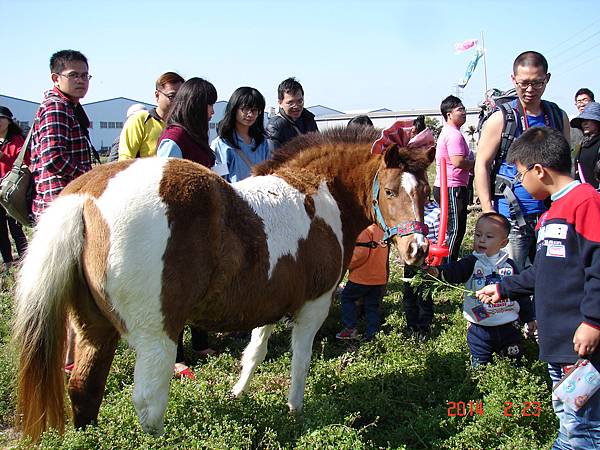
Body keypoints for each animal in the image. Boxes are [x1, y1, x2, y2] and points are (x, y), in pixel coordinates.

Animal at [11, 125, 434, 440]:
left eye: (427, 191)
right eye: (391, 191)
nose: (418, 249)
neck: (318, 195)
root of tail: (87, 194)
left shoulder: (269, 303)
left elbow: (255, 352)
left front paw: (237, 394)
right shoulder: (312, 306)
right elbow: (300, 362)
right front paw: (295, 411)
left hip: (95, 330)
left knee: (85, 390)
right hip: (156, 336)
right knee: (148, 403)